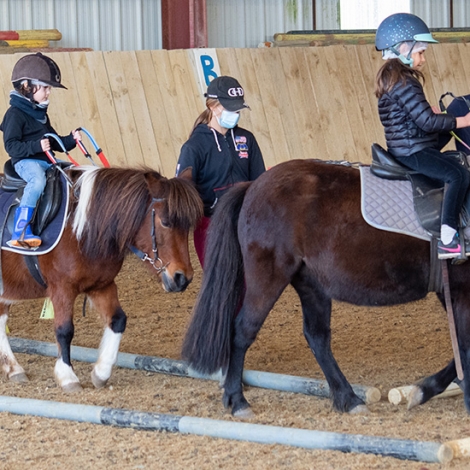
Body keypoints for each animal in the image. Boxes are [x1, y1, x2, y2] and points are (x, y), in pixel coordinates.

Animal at [0, 166, 202, 392]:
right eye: (165, 222)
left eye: (188, 226)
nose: (182, 278)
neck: (81, 229)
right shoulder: (62, 288)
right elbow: (64, 330)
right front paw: (67, 376)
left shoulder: (101, 285)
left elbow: (118, 320)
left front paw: (101, 372)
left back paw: (14, 369)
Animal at [183, 160, 466, 416]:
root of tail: (253, 185)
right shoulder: (459, 290)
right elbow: (463, 346)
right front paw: (429, 391)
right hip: (268, 277)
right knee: (242, 331)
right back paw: (237, 400)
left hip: (310, 284)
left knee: (317, 336)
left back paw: (348, 399)